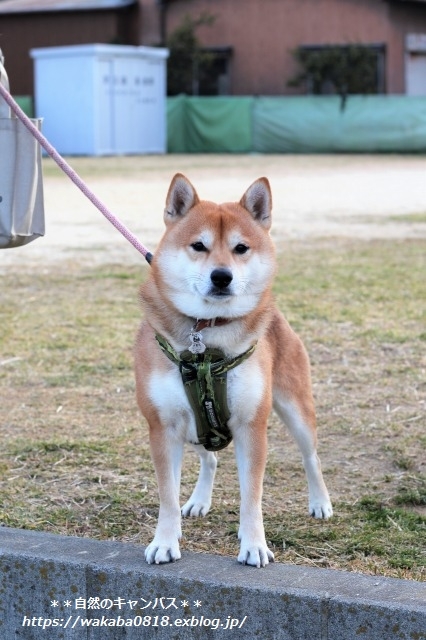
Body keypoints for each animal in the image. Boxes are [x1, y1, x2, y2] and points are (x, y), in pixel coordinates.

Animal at [136, 172, 332, 568]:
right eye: (198, 246)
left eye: (241, 248)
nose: (222, 276)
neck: (206, 335)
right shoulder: (163, 427)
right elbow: (167, 496)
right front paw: (165, 541)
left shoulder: (250, 427)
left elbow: (251, 496)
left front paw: (253, 544)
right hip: (194, 427)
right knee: (209, 459)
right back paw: (198, 501)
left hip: (296, 409)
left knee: (311, 457)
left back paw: (320, 502)